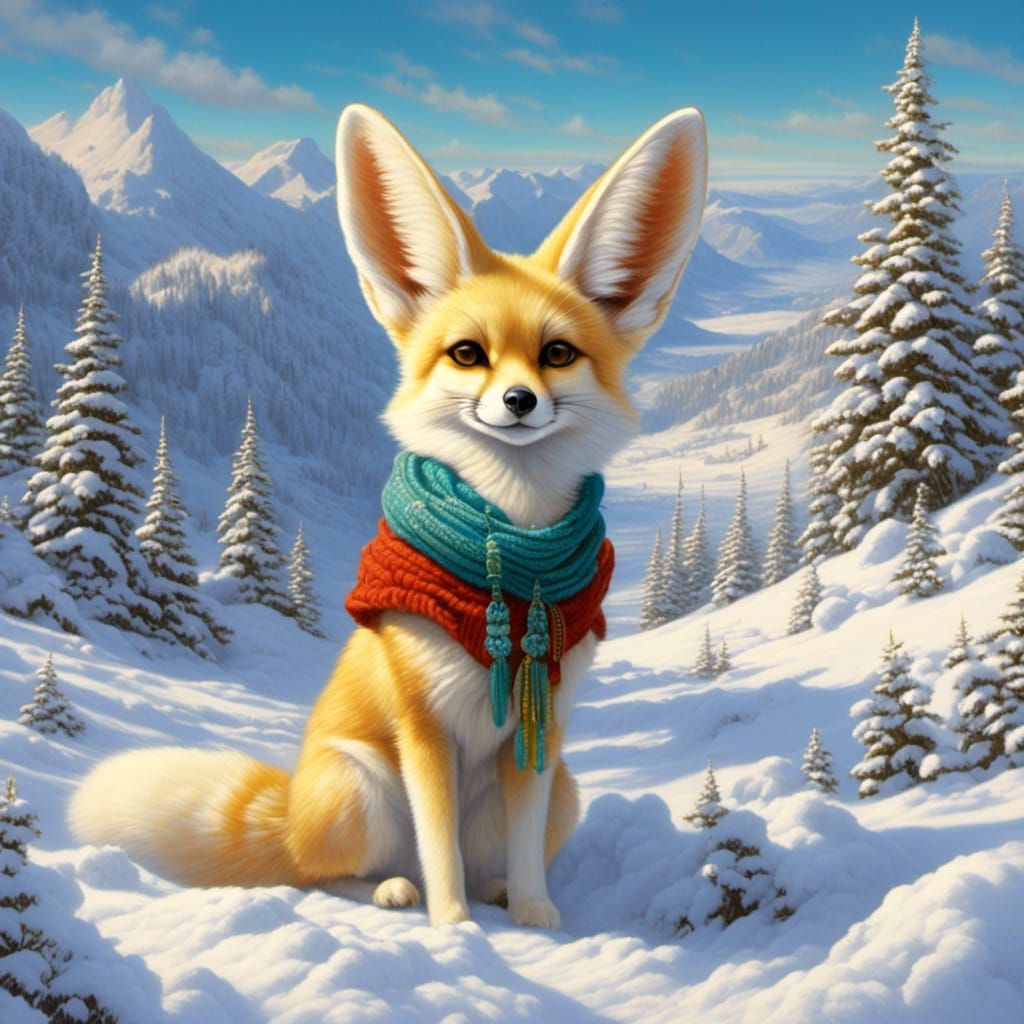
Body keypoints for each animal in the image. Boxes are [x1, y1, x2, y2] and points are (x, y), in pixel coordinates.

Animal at [69, 103, 707, 928]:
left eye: (558, 354)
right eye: (468, 354)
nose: (518, 401)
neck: (509, 557)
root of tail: (289, 809)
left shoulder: (542, 732)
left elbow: (524, 854)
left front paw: (534, 914)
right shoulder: (422, 725)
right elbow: (438, 853)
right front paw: (454, 928)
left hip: (562, 786)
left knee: (481, 855)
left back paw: (495, 892)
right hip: (363, 783)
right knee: (330, 871)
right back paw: (393, 891)